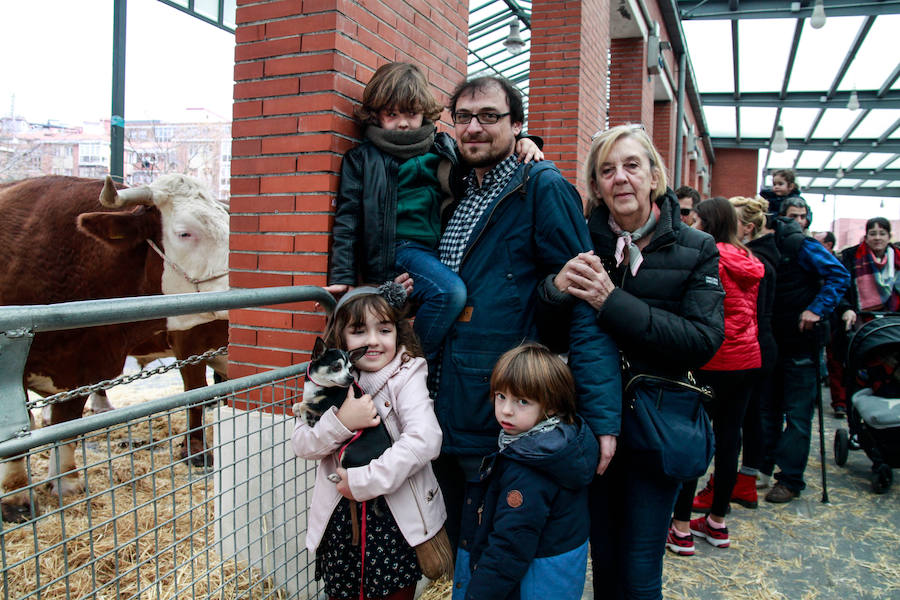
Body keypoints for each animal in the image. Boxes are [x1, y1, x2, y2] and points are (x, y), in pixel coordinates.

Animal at [0, 173, 229, 520]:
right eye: (184, 232)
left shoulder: (84, 365)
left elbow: (67, 423)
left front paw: (66, 483)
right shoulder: (189, 342)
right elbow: (195, 395)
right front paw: (15, 496)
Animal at [296, 336, 394, 472]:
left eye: (350, 369)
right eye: (336, 367)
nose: (351, 378)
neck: (319, 385)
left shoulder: (328, 405)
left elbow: (303, 405)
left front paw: (307, 418)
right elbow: (299, 404)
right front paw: (303, 413)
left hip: (349, 453)